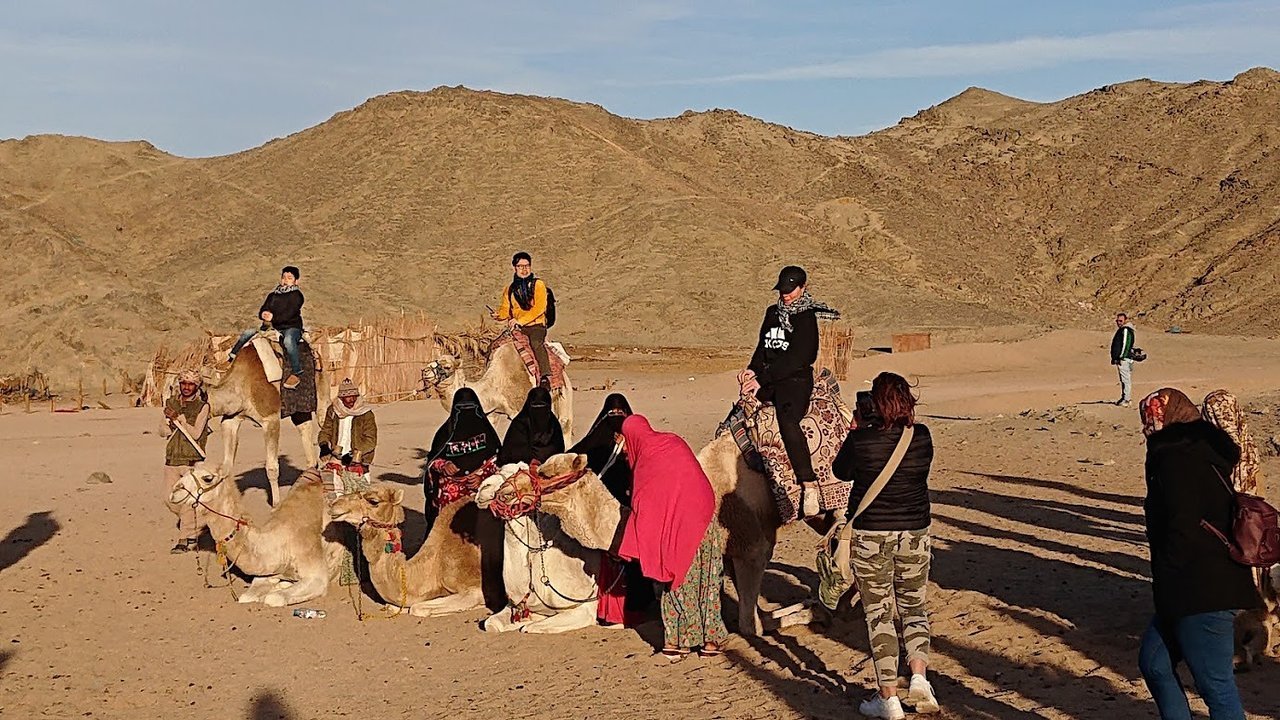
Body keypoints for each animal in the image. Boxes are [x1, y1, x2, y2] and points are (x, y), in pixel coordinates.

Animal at [169, 466, 332, 607]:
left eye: (207, 478)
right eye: (184, 474)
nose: (175, 491)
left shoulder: (317, 575)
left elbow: (273, 598)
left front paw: (278, 588)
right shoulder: (267, 571)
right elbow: (247, 596)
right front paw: (279, 584)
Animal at [203, 346, 327, 506]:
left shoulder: (270, 419)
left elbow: (272, 468)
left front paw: (276, 504)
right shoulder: (230, 419)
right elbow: (226, 467)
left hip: (323, 396)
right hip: (300, 411)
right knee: (305, 429)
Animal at [423, 342, 573, 439]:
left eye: (447, 366)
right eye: (434, 360)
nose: (424, 371)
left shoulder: (518, 409)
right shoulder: (492, 413)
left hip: (564, 392)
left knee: (565, 424)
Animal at [473, 460, 601, 634]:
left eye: (523, 473)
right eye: (499, 469)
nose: (483, 489)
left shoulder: (584, 608)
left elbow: (529, 628)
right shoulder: (517, 606)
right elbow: (491, 624)